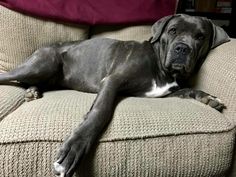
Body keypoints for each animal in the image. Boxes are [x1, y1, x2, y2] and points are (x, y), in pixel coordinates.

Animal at [0, 14, 230, 176]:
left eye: (200, 37)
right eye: (172, 31)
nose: (182, 48)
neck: (161, 66)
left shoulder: (165, 92)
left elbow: (188, 90)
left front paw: (208, 98)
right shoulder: (112, 81)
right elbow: (100, 111)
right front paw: (75, 148)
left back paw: (33, 91)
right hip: (42, 65)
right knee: (10, 76)